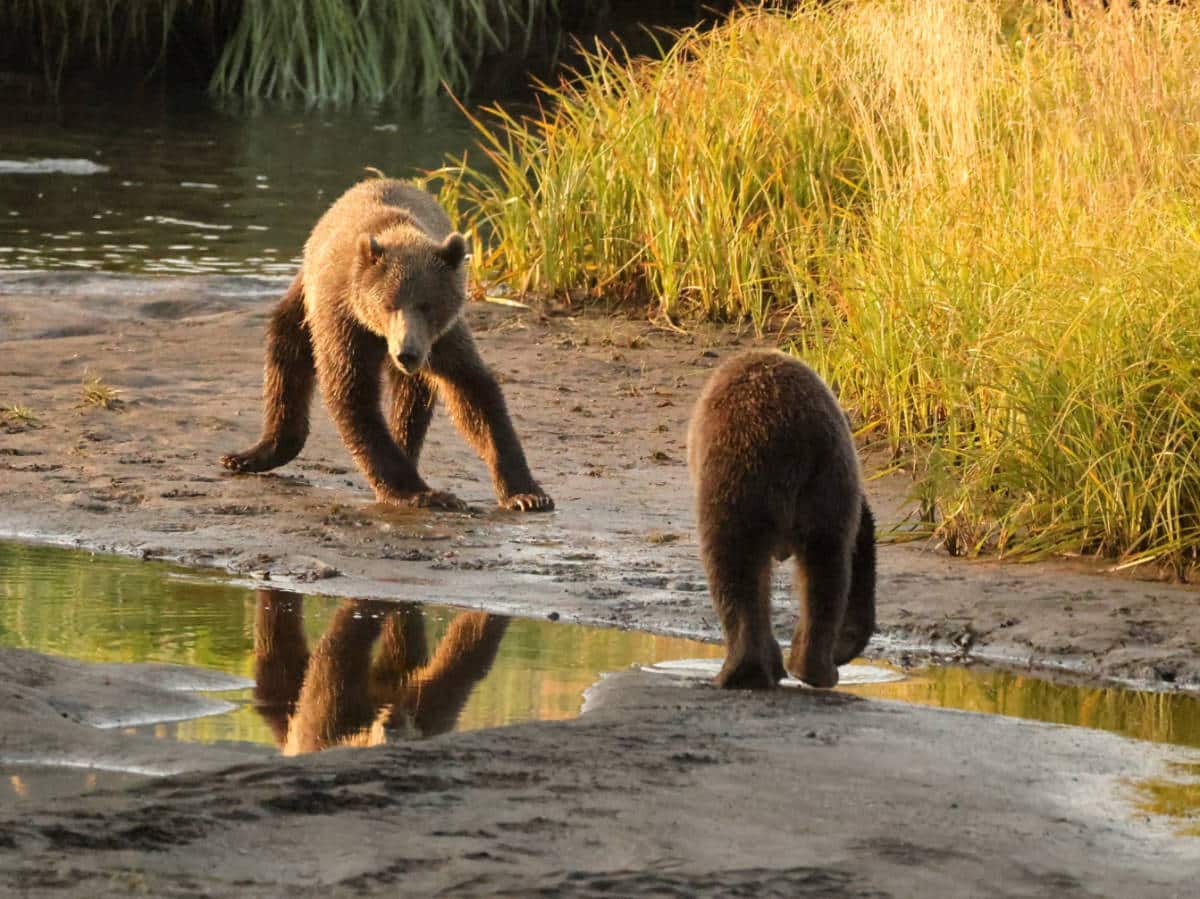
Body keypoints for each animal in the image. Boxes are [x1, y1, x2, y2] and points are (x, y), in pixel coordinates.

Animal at [221, 177, 552, 512]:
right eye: (389, 304)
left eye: (428, 305)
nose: (406, 353)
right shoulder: (345, 322)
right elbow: (352, 392)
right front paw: (424, 493)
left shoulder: (441, 338)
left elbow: (473, 392)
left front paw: (527, 494)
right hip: (304, 302)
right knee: (287, 355)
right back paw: (249, 455)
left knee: (413, 398)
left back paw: (404, 443)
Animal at [686, 350, 876, 690]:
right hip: (825, 479)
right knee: (826, 567)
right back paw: (801, 668)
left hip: (745, 478)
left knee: (734, 563)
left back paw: (751, 670)